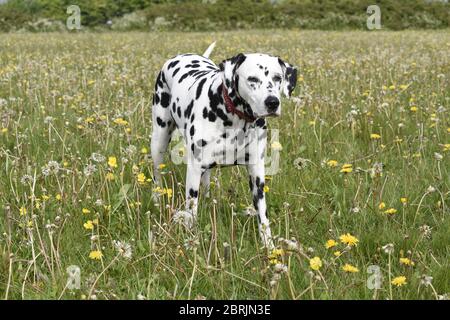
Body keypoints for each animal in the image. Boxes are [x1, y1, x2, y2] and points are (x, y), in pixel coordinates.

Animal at [151, 42, 298, 248]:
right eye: (252, 79)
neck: (235, 119)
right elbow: (191, 210)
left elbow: (263, 216)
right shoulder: (194, 168)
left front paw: (269, 247)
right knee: (157, 174)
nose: (272, 102)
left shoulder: (256, 174)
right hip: (159, 141)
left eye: (278, 77)